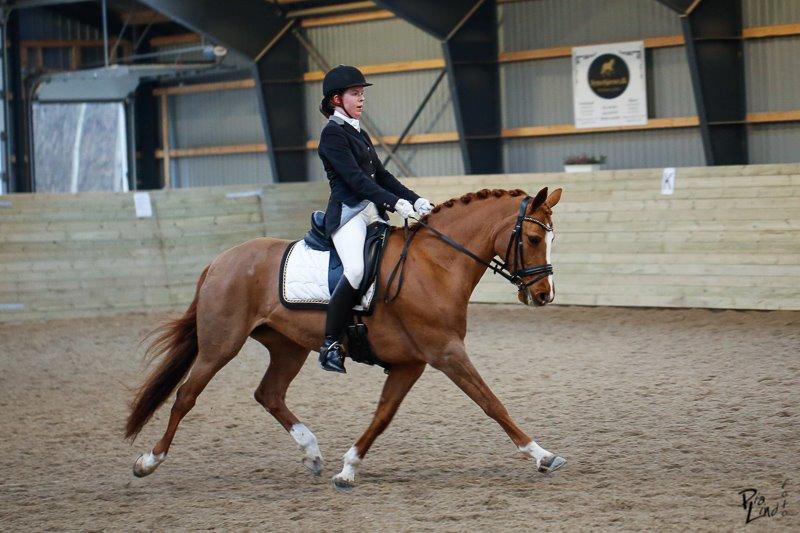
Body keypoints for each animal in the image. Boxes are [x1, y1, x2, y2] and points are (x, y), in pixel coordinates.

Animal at [125, 186, 565, 490]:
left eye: (550, 239)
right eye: (532, 239)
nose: (544, 295)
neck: (435, 264)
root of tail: (220, 260)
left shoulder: (411, 363)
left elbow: (383, 415)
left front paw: (347, 469)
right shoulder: (446, 352)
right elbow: (491, 403)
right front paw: (542, 455)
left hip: (288, 348)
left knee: (269, 394)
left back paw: (312, 454)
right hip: (221, 345)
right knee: (186, 396)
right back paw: (149, 461)